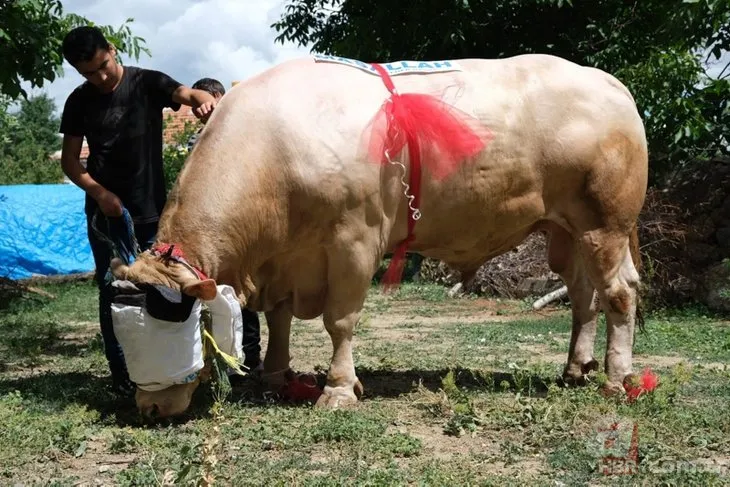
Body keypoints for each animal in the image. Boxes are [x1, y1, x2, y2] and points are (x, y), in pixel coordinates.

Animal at [111, 53, 644, 420]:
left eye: (168, 329)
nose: (148, 408)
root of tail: (606, 81)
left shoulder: (354, 239)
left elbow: (339, 321)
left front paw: (338, 389)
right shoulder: (284, 259)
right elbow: (280, 319)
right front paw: (276, 376)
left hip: (605, 224)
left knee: (619, 294)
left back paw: (616, 378)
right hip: (566, 231)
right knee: (583, 296)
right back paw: (575, 368)